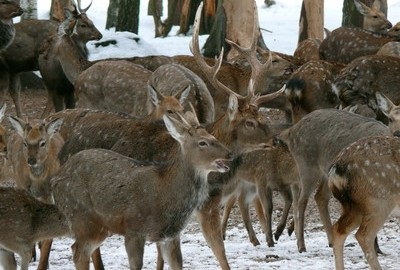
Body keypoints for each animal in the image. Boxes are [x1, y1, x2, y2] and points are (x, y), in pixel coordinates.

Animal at [50, 111, 231, 270]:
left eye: (214, 137)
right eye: (203, 142)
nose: (229, 153)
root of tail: (55, 180)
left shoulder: (170, 236)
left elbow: (178, 264)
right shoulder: (133, 229)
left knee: (77, 249)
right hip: (80, 215)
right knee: (79, 251)